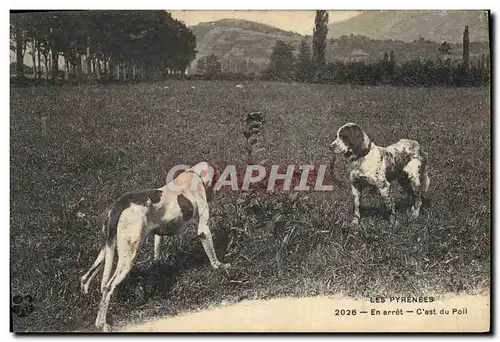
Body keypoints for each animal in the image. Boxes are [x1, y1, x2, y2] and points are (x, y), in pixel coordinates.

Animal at [78, 162, 229, 332]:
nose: (216, 191)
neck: (193, 174)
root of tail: (121, 202)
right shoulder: (204, 231)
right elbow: (213, 256)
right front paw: (220, 266)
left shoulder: (159, 234)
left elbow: (157, 255)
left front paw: (158, 269)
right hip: (128, 256)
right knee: (107, 287)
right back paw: (102, 323)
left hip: (107, 248)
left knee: (87, 275)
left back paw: (86, 295)